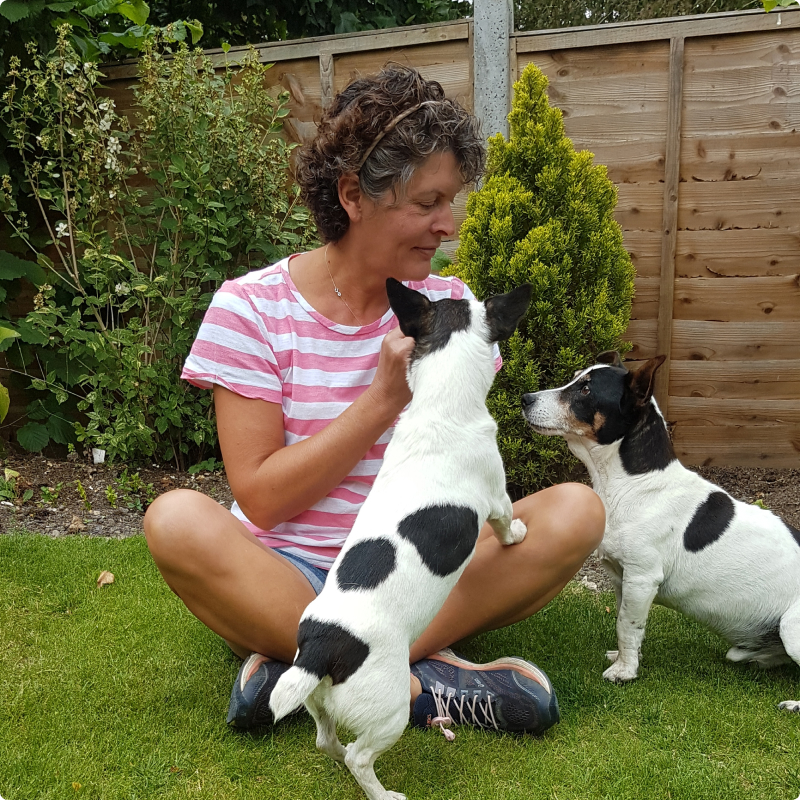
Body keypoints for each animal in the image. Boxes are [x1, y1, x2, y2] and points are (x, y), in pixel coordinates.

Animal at [272, 280, 536, 800]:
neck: (441, 407)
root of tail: (322, 646)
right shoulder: (496, 495)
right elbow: (505, 520)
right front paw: (517, 535)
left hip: (316, 699)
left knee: (326, 740)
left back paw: (338, 756)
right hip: (389, 708)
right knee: (360, 756)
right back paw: (383, 793)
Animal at [520, 354, 796, 712]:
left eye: (585, 389)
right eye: (576, 378)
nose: (525, 399)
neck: (635, 483)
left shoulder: (641, 578)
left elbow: (626, 624)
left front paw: (624, 672)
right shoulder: (622, 578)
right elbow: (626, 624)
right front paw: (626, 658)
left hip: (791, 627)